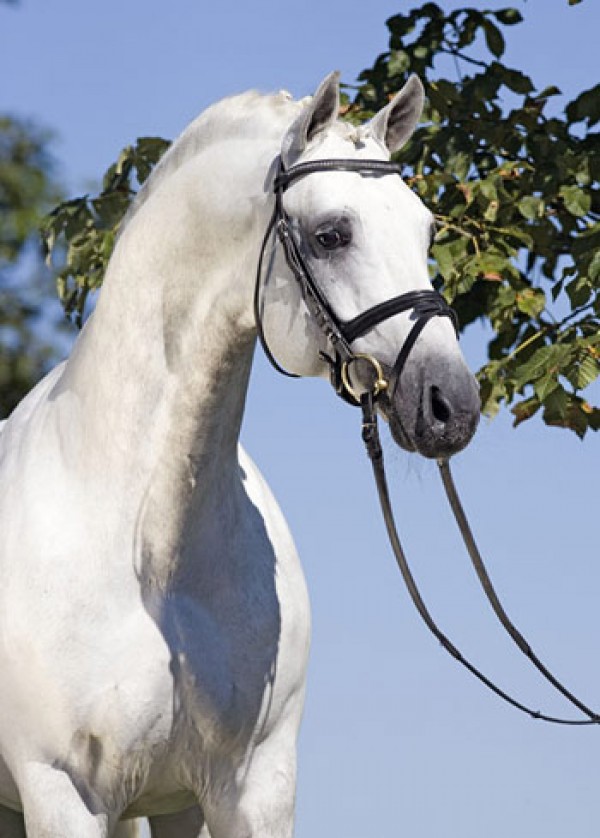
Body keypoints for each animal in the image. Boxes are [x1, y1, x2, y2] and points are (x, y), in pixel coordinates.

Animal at [0, 74, 478, 838]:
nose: (450, 405)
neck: (150, 558)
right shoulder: (63, 793)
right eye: (331, 234)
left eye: (426, 228)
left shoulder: (242, 791)